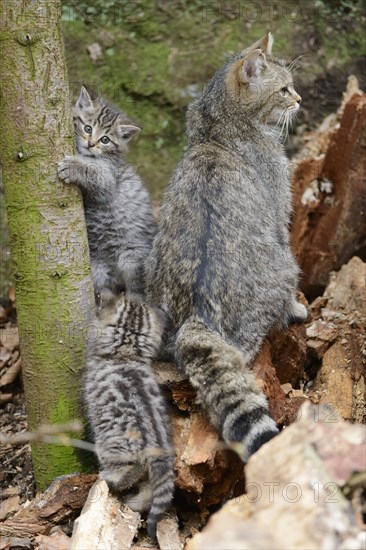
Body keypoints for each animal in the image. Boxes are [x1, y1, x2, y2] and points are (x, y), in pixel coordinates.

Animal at [57, 87, 156, 302]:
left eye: (105, 140)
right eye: (88, 129)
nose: (91, 143)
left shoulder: (109, 180)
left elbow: (94, 172)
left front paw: (74, 166)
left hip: (133, 257)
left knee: (138, 290)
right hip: (98, 266)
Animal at [146, 34, 306, 464]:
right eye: (283, 89)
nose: (299, 99)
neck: (214, 131)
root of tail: (195, 318)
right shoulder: (278, 212)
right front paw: (298, 306)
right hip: (283, 267)